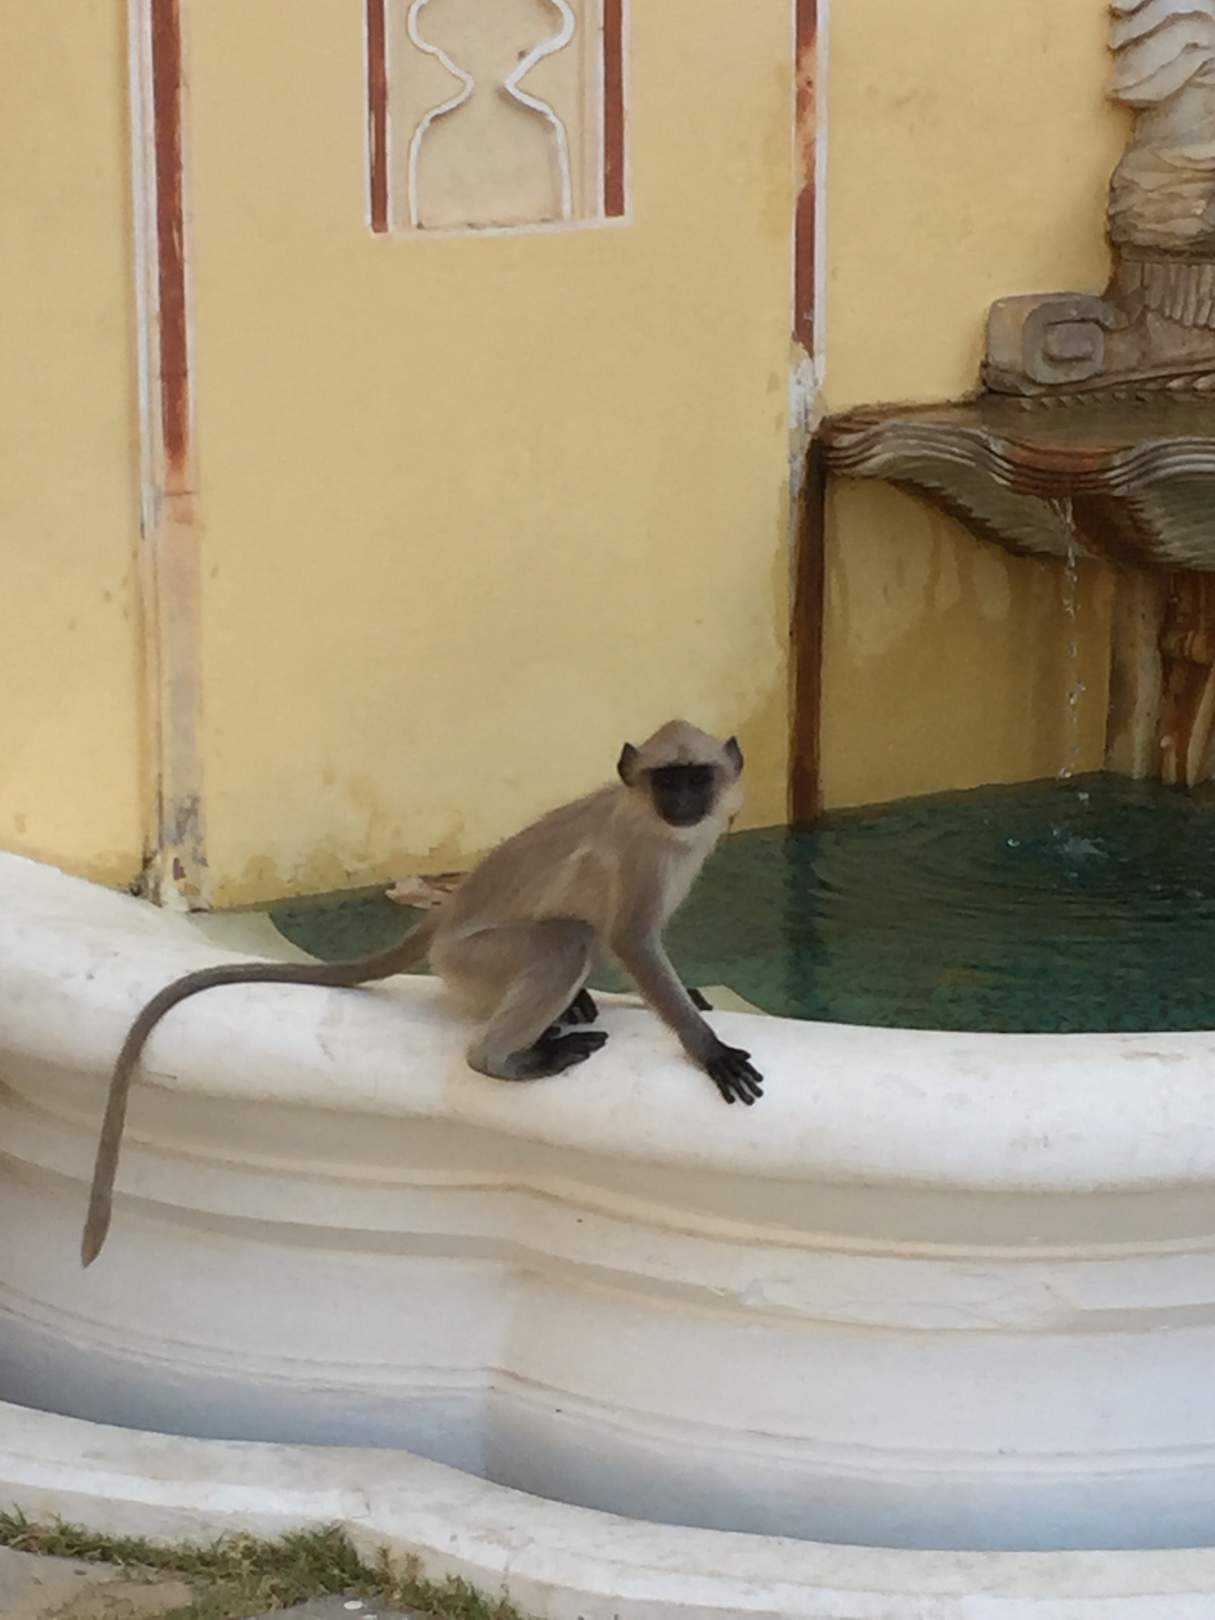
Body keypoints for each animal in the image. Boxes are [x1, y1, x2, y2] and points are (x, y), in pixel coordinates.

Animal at [81, 720, 763, 1266]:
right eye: (666, 780)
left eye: (696, 777)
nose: (682, 801)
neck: (656, 824)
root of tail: (444, 919)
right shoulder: (641, 854)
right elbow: (632, 942)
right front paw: (709, 1049)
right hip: (475, 957)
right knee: (570, 939)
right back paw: (504, 1059)